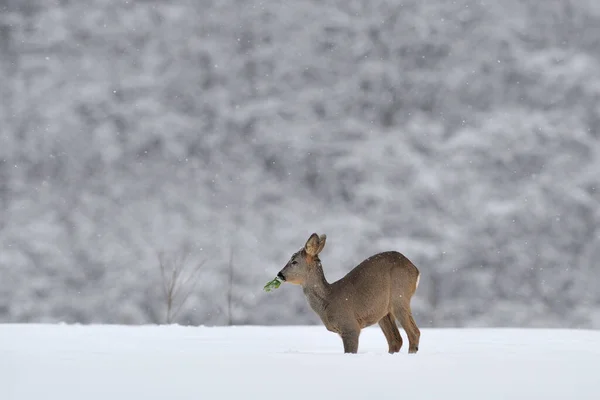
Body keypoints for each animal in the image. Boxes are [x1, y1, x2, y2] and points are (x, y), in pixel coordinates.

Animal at [276, 233, 422, 354]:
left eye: (294, 261)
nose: (280, 275)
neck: (328, 300)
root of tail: (416, 269)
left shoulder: (350, 326)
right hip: (383, 310)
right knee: (395, 340)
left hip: (400, 296)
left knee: (414, 333)